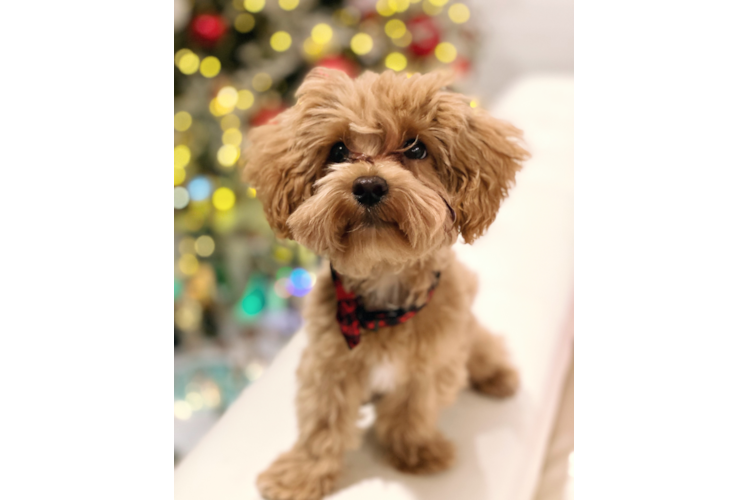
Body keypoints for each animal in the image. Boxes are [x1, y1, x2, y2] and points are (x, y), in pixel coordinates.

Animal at [243, 69, 528, 500]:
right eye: (338, 150)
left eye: (416, 148)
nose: (368, 185)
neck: (382, 296)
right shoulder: (327, 363)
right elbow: (321, 424)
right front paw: (301, 474)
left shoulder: (431, 362)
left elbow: (412, 410)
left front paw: (416, 451)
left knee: (483, 344)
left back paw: (495, 374)